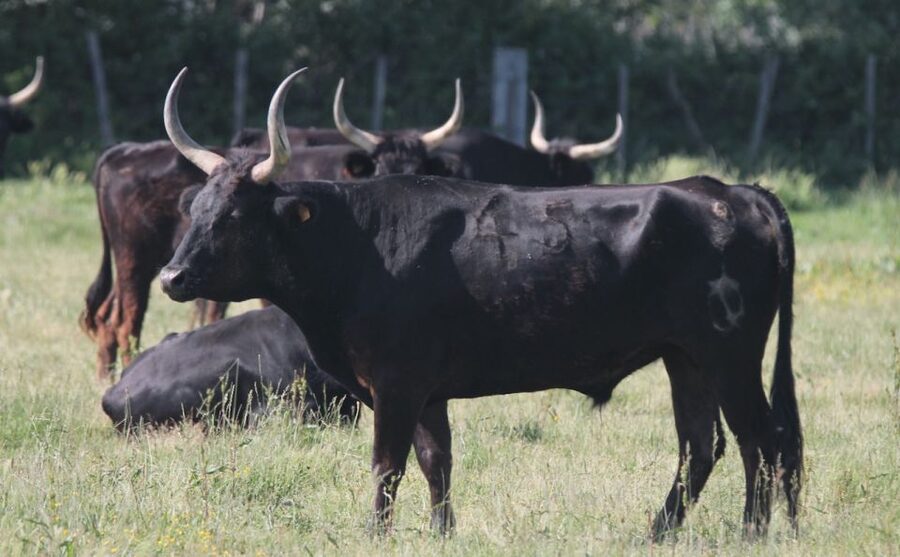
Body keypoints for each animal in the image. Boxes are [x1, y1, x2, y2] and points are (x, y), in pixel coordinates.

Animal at [157, 67, 804, 538]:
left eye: (234, 215)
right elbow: (435, 463)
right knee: (701, 446)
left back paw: (751, 534)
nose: (172, 276)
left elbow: (387, 466)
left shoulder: (396, 384)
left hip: (730, 356)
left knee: (760, 440)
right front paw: (442, 534)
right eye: (198, 208)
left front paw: (376, 536)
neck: (359, 243)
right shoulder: (427, 391)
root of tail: (734, 191)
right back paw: (655, 534)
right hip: (685, 358)